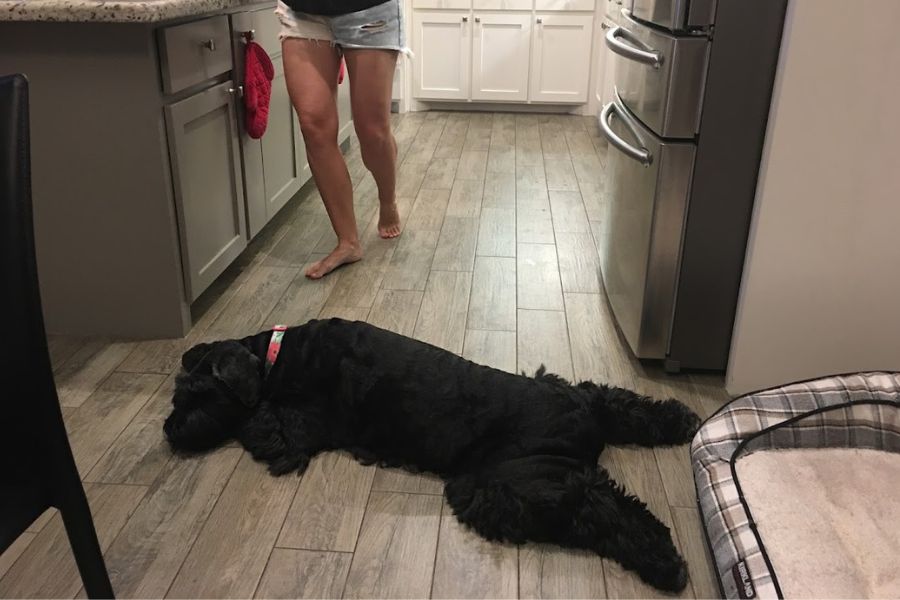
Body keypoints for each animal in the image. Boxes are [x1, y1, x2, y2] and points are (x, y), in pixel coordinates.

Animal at [165, 318, 700, 592]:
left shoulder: (294, 430)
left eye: (198, 396)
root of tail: (582, 423)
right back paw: (682, 419)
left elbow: (257, 423)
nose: (169, 432)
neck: (276, 354)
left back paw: (665, 564)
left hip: (509, 488)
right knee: (617, 406)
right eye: (175, 395)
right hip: (570, 402)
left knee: (601, 510)